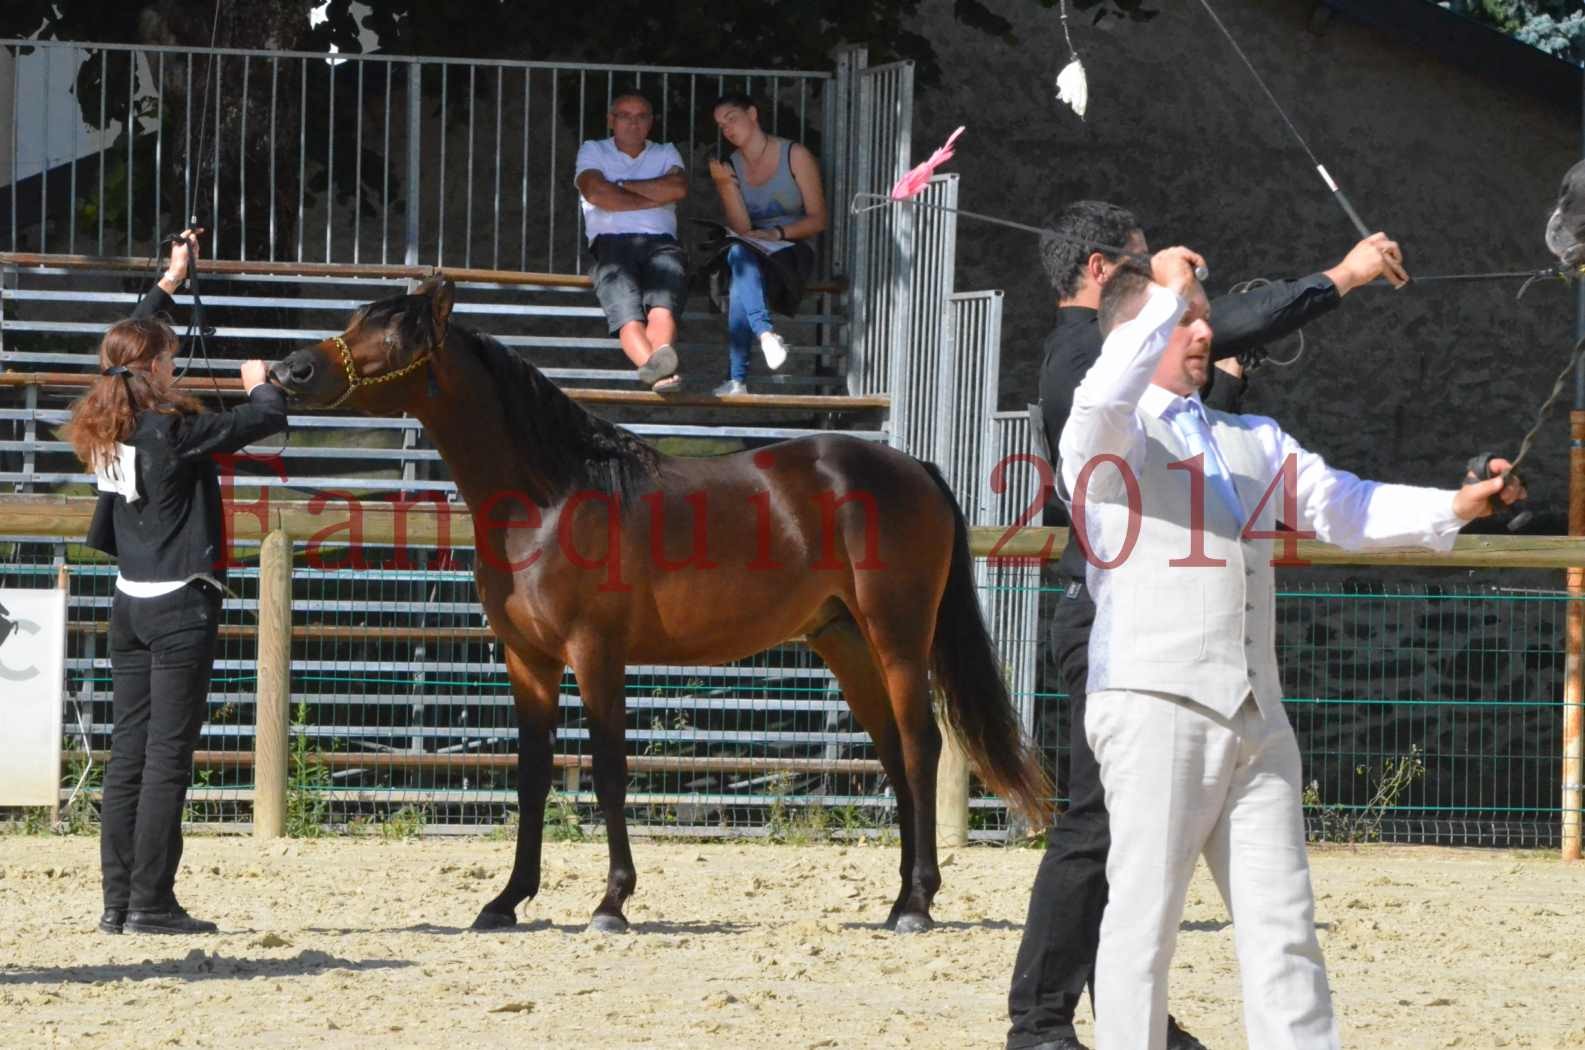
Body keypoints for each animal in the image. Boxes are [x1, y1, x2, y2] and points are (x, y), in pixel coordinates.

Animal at [269, 275, 1052, 932]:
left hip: (897, 636)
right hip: (843, 639)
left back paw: (916, 904)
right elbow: (530, 778)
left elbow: (611, 773)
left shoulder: (596, 652)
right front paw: (506, 900)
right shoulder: (528, 660)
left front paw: (610, 902)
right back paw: (896, 901)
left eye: (393, 334)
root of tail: (912, 467)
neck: (549, 498)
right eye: (355, 319)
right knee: (892, 752)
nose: (288, 372)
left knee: (920, 747)